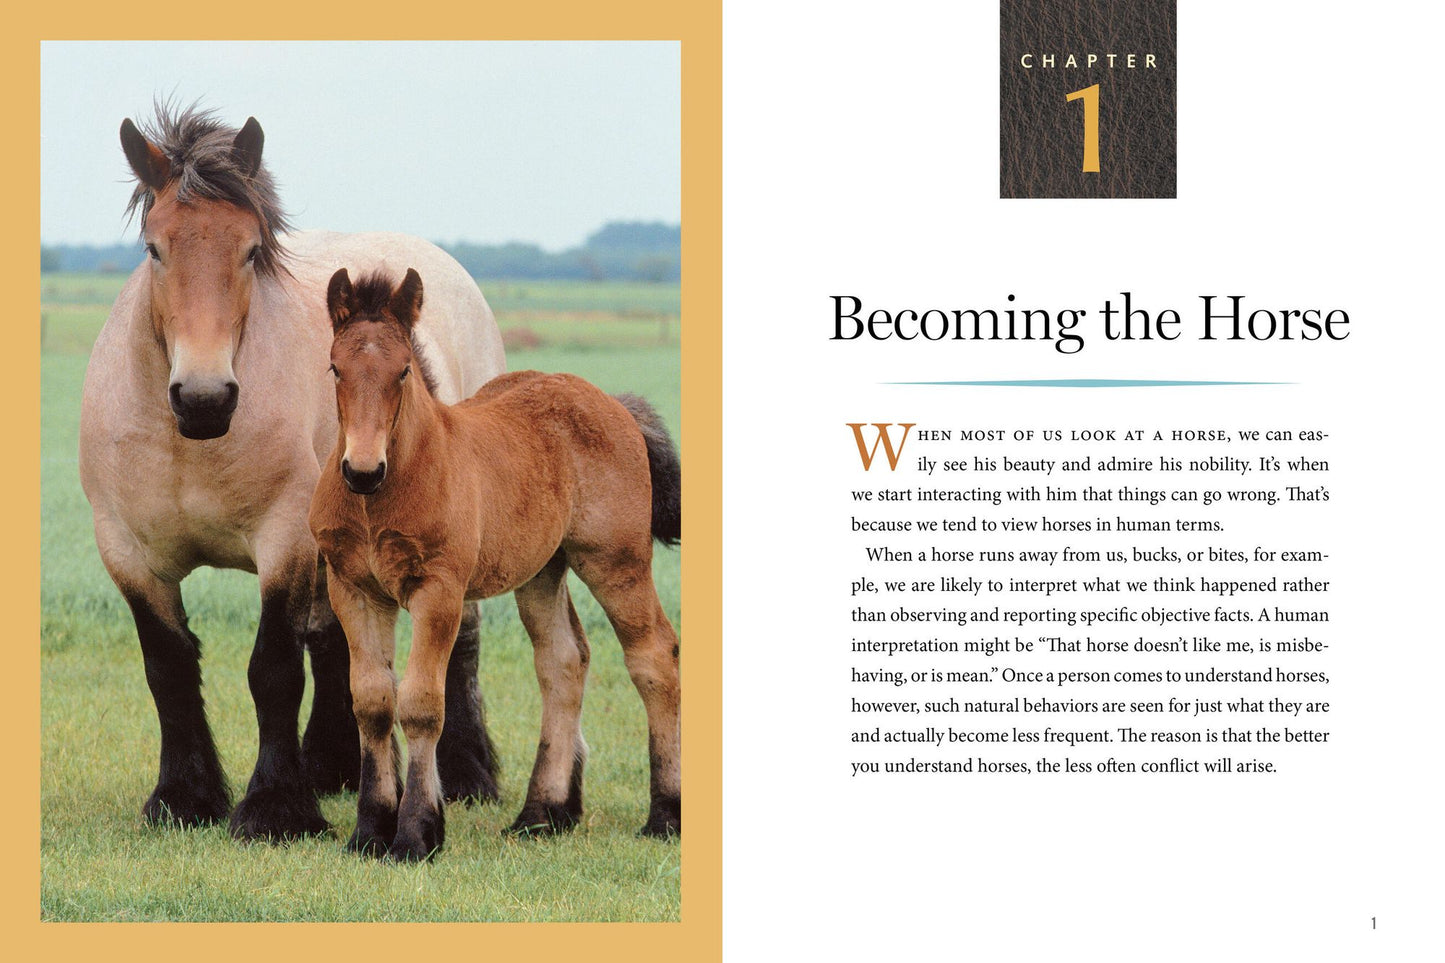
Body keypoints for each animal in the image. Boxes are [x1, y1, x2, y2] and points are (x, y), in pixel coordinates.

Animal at [78, 105, 507, 842]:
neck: (187, 444)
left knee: (461, 643)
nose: (205, 398)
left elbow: (273, 667)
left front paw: (275, 807)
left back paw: (467, 775)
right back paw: (333, 768)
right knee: (337, 643)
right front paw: (183, 796)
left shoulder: (285, 542)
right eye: (156, 250)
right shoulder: (129, 554)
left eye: (250, 250)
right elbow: (168, 667)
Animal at [309, 268, 681, 860]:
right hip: (542, 572)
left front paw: (416, 833)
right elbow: (371, 703)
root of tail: (613, 402)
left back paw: (665, 814)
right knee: (563, 661)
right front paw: (369, 830)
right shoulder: (356, 591)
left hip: (616, 560)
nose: (362, 471)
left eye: (404, 370)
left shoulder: (438, 591)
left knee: (653, 655)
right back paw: (541, 814)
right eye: (335, 367)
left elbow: (421, 704)